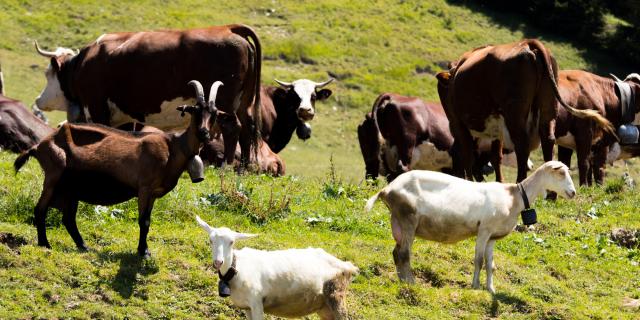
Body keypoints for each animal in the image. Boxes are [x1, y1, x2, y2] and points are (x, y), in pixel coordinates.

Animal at [13, 80, 222, 258]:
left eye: (214, 113)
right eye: (195, 110)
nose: (204, 133)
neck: (174, 147)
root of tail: (39, 146)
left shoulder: (153, 194)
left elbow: (148, 220)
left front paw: (143, 250)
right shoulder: (144, 187)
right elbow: (144, 221)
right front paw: (143, 252)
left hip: (71, 188)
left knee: (68, 218)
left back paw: (83, 246)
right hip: (53, 176)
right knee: (40, 209)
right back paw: (45, 244)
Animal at [31, 24, 262, 169]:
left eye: (47, 74)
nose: (38, 100)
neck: (83, 64)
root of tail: (229, 29)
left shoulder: (97, 107)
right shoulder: (123, 116)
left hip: (224, 104)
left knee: (232, 128)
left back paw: (226, 166)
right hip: (243, 103)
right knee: (246, 130)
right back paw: (243, 169)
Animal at [195, 215, 358, 320]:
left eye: (232, 242)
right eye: (210, 240)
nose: (218, 262)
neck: (237, 268)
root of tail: (348, 266)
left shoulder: (256, 302)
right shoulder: (247, 307)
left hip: (336, 296)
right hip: (324, 306)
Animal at [364, 161, 580, 294]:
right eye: (561, 173)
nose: (573, 193)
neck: (514, 197)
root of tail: (387, 189)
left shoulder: (492, 237)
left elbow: (490, 264)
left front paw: (491, 289)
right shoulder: (483, 230)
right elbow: (478, 261)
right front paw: (475, 286)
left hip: (399, 222)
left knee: (396, 252)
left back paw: (402, 280)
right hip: (408, 219)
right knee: (404, 254)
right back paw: (411, 282)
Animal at [436, 38, 616, 181]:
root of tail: (528, 43)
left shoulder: (458, 123)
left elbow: (468, 155)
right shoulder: (496, 129)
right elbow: (494, 157)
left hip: (514, 115)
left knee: (522, 145)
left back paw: (520, 181)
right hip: (548, 110)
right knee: (548, 140)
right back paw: (550, 193)